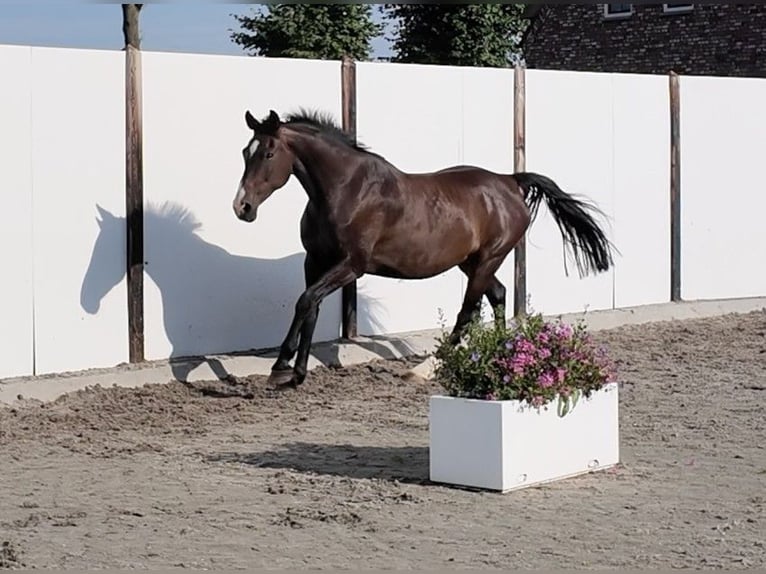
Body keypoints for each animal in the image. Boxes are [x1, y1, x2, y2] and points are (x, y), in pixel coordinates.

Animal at [233, 108, 615, 390]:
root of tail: (510, 181)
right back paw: (499, 355)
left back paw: (427, 368)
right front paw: (295, 374)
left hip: (488, 258)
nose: (242, 207)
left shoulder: (351, 265)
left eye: (268, 153)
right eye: (245, 152)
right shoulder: (315, 261)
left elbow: (306, 301)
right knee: (498, 294)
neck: (346, 190)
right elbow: (309, 307)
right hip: (471, 262)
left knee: (469, 311)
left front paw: (281, 367)